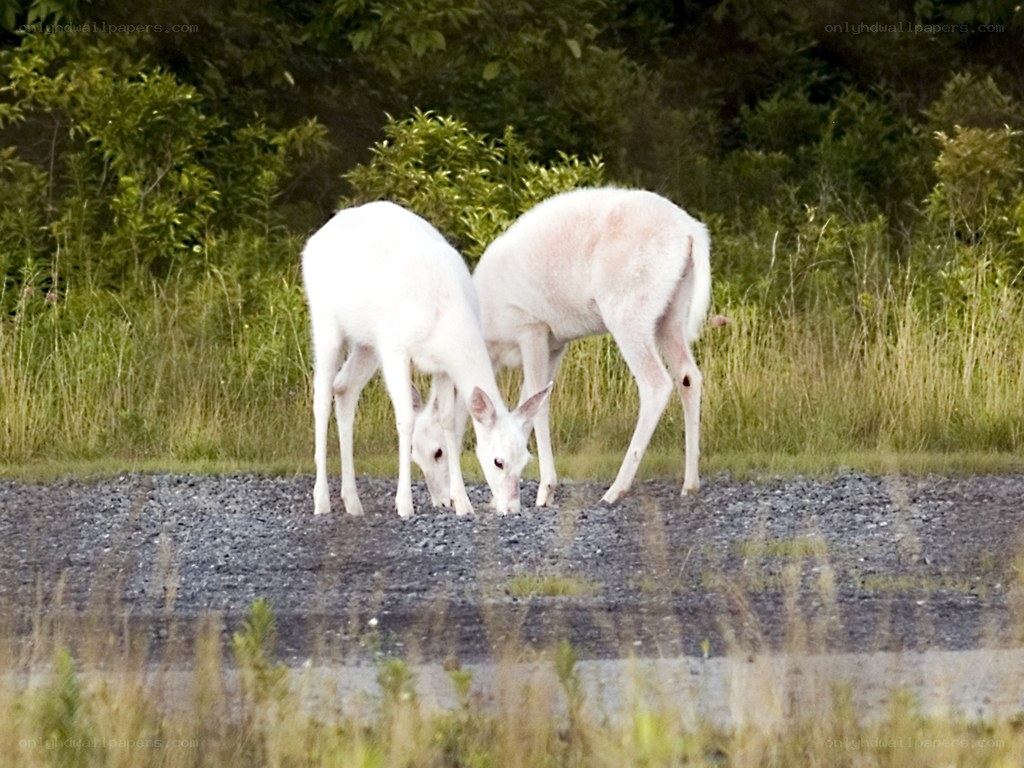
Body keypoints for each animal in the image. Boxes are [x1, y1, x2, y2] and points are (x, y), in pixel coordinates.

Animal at [301, 200, 551, 518]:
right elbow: (406, 419)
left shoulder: (441, 367)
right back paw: (321, 501)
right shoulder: (395, 348)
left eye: (526, 459)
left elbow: (448, 422)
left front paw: (463, 504)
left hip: (367, 343)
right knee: (321, 395)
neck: (443, 316)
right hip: (326, 322)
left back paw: (353, 502)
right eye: (498, 461)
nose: (512, 508)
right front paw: (404, 504)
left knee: (344, 389)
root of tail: (314, 240)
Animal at [414, 186, 712, 508]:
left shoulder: (531, 327)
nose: (442, 501)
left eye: (437, 452)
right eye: (414, 456)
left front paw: (545, 491)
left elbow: (537, 403)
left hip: (629, 312)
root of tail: (692, 232)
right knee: (689, 375)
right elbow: (526, 405)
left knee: (656, 383)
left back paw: (615, 489)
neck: (488, 339)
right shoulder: (556, 343)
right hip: (673, 310)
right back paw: (690, 483)